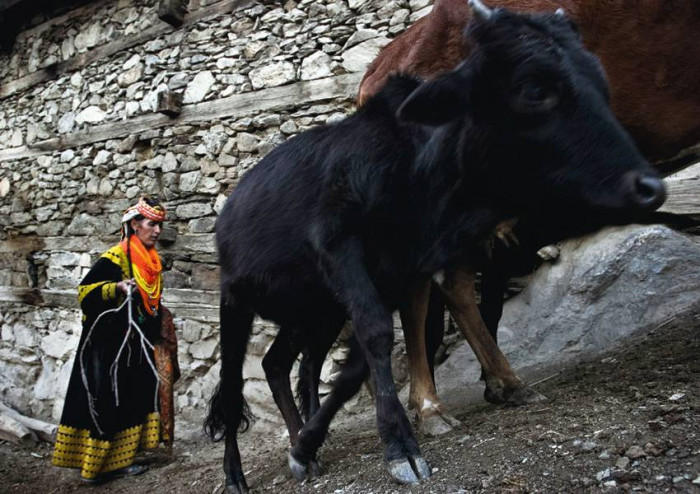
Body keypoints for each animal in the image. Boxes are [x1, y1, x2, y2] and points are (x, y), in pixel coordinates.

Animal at [205, 2, 664, 490]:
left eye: (599, 79)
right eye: (534, 88)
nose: (647, 186)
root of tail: (229, 210)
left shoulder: (401, 271)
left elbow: (359, 365)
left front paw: (305, 445)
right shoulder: (339, 248)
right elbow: (376, 336)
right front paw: (400, 448)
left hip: (312, 310)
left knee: (282, 364)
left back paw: (306, 446)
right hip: (236, 301)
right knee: (232, 389)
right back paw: (234, 474)